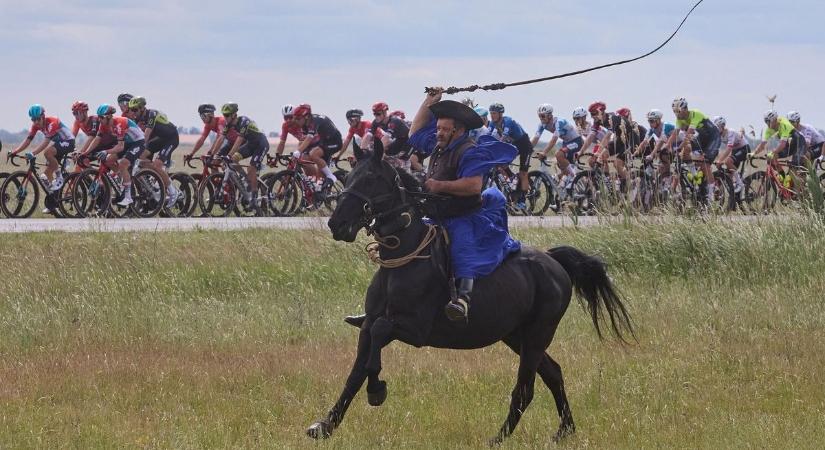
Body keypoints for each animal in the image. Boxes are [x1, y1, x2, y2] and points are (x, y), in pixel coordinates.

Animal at [312, 147, 636, 442]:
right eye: (348, 177)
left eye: (370, 179)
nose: (337, 224)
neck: (404, 258)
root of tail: (554, 262)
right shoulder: (367, 326)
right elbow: (356, 372)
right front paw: (325, 425)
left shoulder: (413, 330)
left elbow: (378, 340)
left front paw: (377, 390)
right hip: (516, 336)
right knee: (553, 373)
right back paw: (565, 430)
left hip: (537, 335)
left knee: (525, 389)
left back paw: (499, 438)